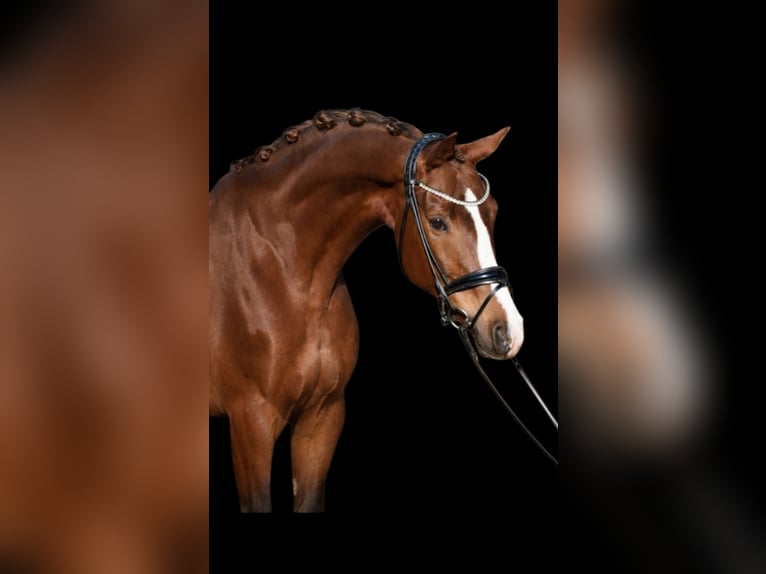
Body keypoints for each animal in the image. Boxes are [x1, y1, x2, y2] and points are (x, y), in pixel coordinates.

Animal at [209, 109, 524, 512]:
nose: (509, 330)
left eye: (493, 212)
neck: (279, 267)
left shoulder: (322, 417)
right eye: (438, 221)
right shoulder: (252, 423)